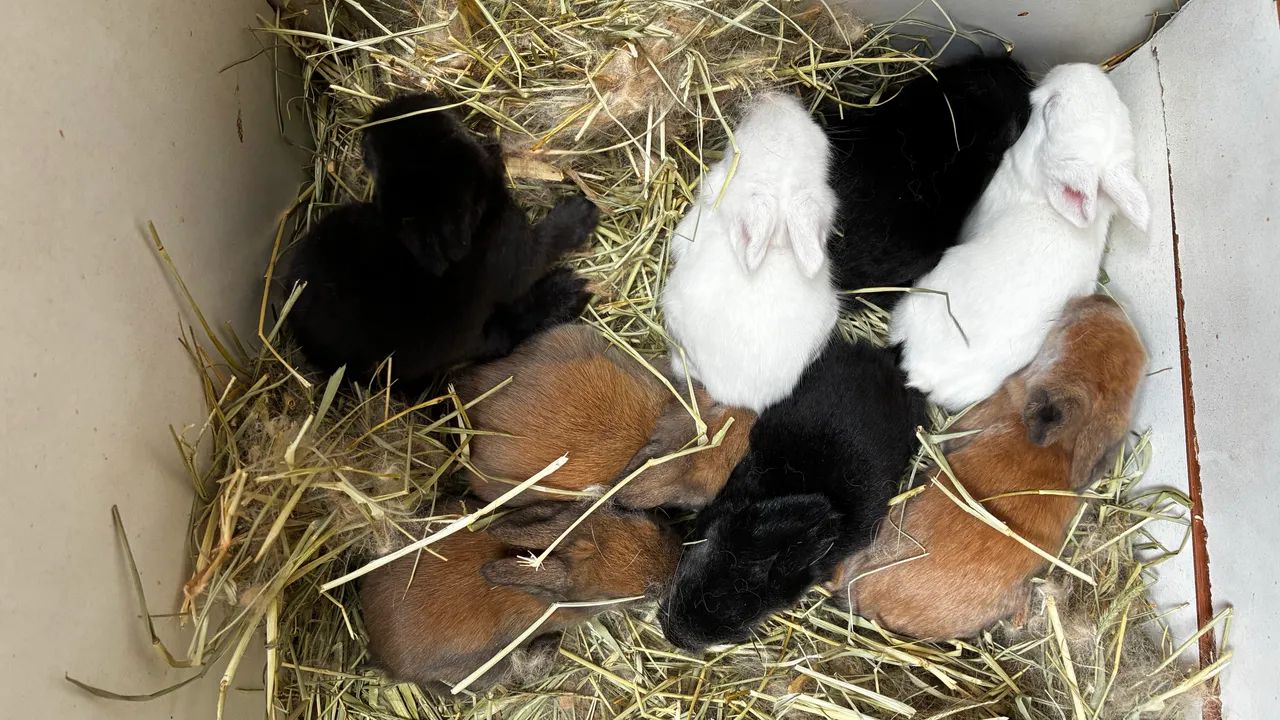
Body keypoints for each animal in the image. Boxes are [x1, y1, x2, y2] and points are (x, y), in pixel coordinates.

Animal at [282, 92, 599, 395]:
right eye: (451, 137)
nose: (398, 104)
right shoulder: (516, 255)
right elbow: (546, 243)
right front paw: (580, 214)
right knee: (503, 338)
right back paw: (566, 293)